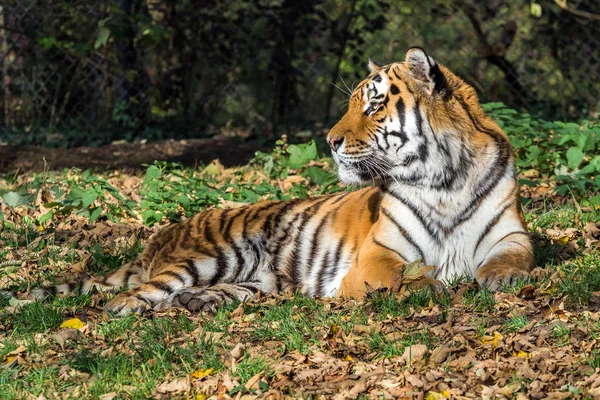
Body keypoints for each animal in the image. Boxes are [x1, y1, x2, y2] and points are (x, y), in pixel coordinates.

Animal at [34, 47, 536, 316]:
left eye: (373, 105)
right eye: (352, 103)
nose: (330, 141)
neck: (444, 180)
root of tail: (162, 235)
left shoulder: (511, 234)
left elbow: (512, 258)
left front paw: (501, 277)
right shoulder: (378, 256)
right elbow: (402, 275)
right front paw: (430, 284)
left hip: (257, 279)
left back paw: (199, 302)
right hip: (210, 256)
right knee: (133, 296)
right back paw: (133, 308)